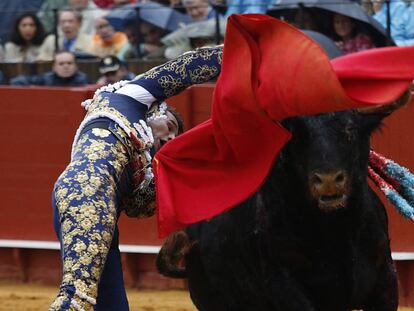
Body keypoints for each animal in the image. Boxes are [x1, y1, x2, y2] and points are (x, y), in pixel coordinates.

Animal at [156, 94, 410, 310]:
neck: (336, 230)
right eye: (296, 137)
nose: (328, 180)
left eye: (350, 130)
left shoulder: (386, 280)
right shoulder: (285, 286)